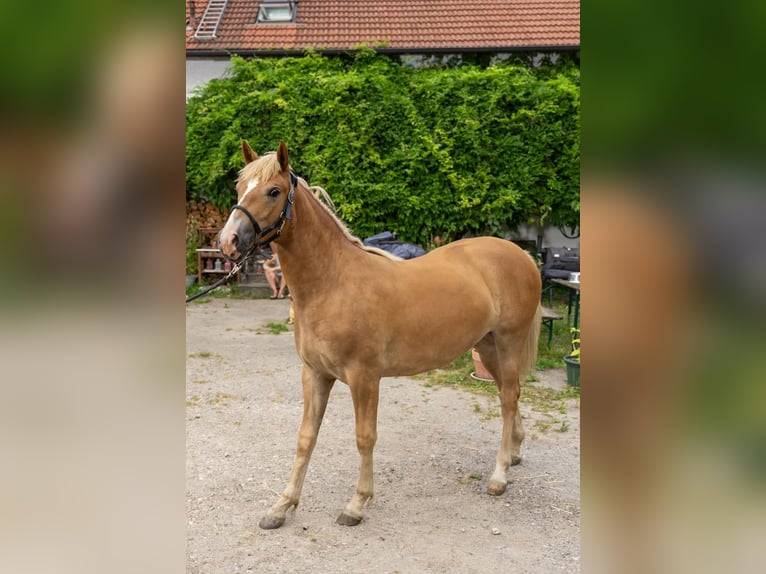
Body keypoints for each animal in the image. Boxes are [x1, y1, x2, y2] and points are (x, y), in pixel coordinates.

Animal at [220, 141, 544, 532]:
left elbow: (365, 437)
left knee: (509, 398)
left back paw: (499, 475)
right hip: (488, 346)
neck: (333, 282)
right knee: (509, 394)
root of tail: (520, 254)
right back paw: (515, 453)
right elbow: (305, 438)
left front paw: (357, 504)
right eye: (240, 188)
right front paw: (282, 506)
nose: (228, 241)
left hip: (509, 342)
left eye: (273, 191)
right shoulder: (315, 374)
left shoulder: (364, 378)